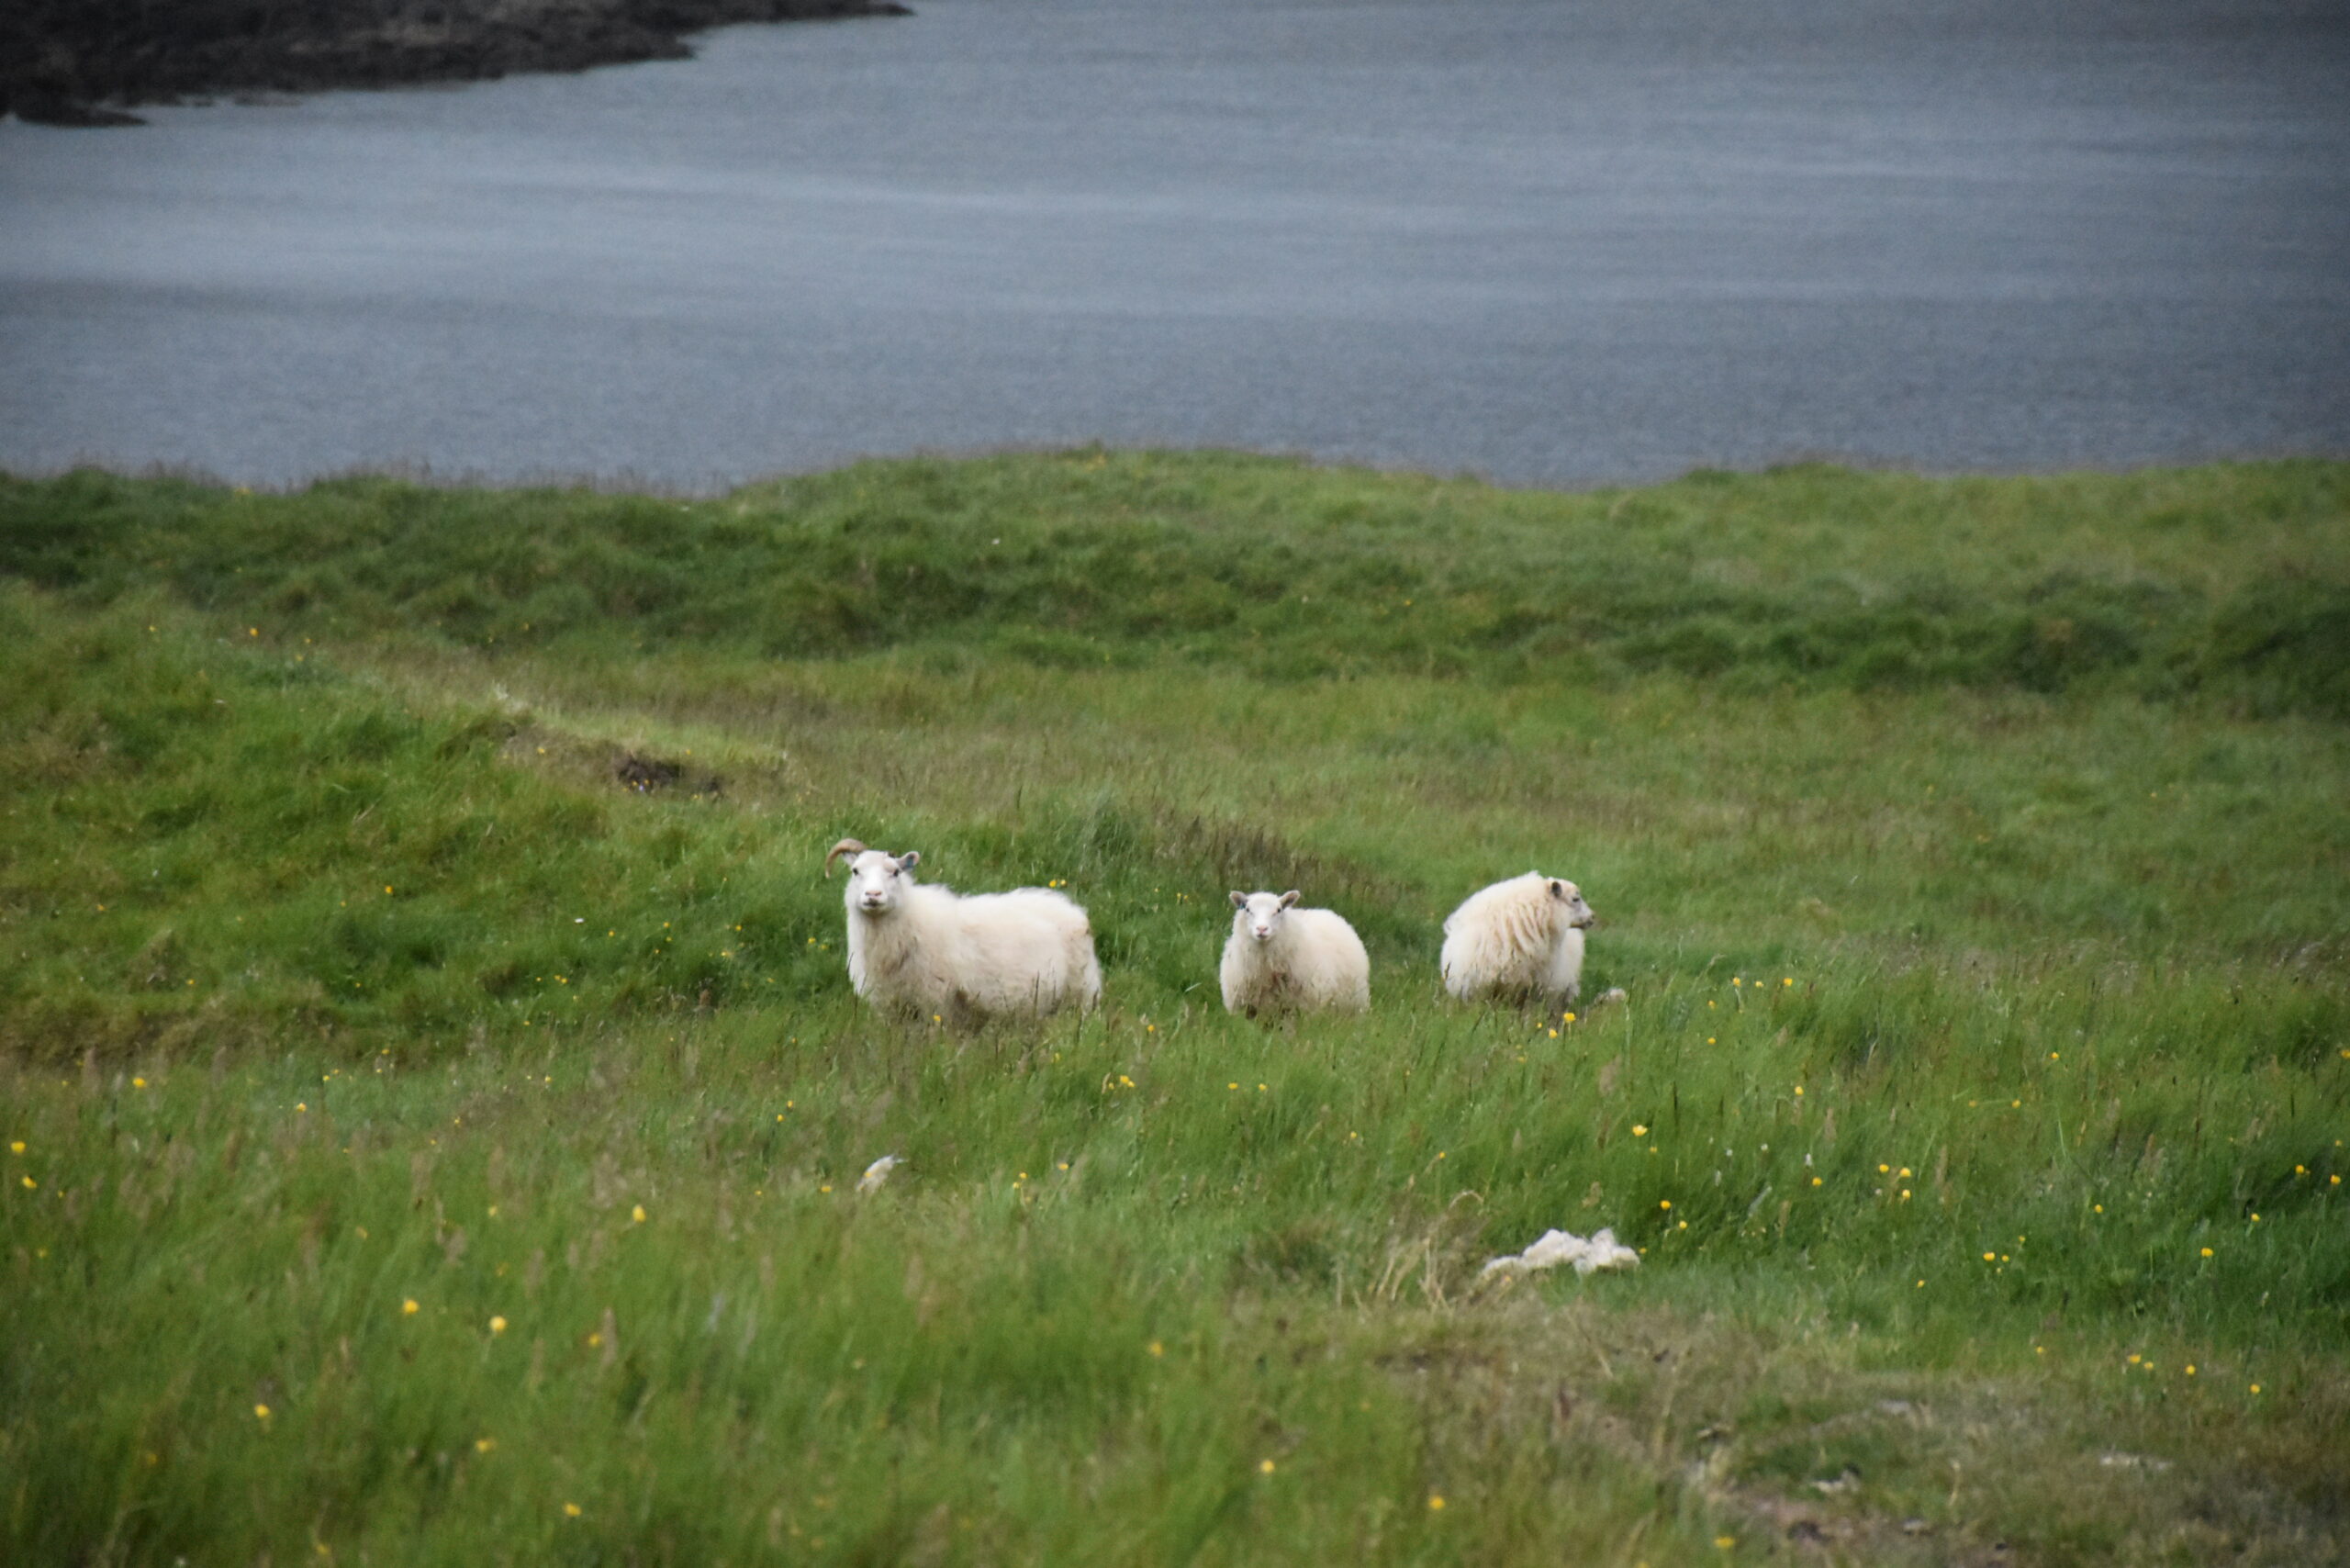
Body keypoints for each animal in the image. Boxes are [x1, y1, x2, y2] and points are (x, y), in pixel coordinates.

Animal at [823, 838, 1101, 1020]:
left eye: (895, 872)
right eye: (855, 871)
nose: (873, 895)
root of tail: (1073, 909)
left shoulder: (936, 1001)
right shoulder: (888, 1006)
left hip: (1080, 994)